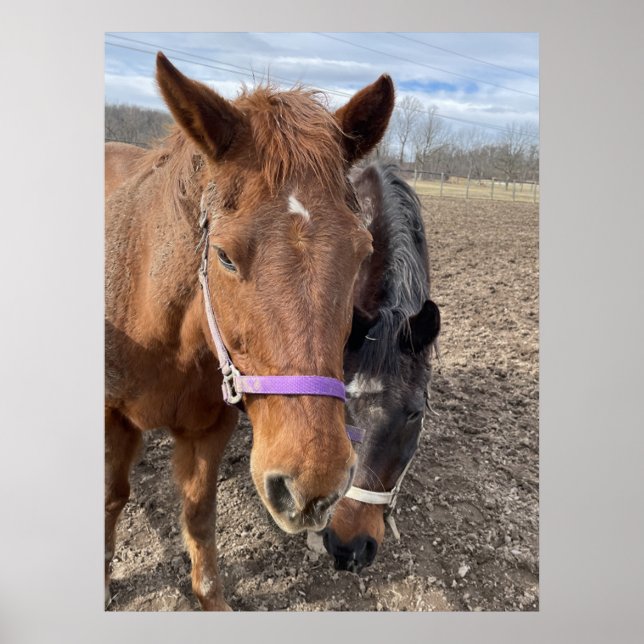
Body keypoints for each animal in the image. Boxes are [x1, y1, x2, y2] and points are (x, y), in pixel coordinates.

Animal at [105, 52, 395, 610]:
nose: (314, 484)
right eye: (223, 255)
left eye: (361, 253)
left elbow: (198, 513)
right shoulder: (111, 420)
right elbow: (112, 499)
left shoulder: (209, 429)